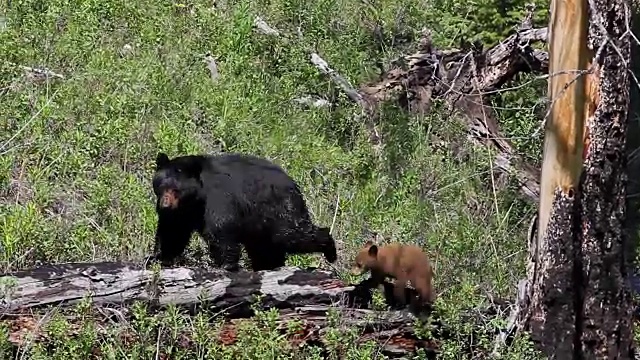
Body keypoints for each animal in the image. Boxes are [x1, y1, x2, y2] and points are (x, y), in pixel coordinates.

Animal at [145, 150, 338, 272]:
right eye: (160, 186)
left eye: (175, 189)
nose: (164, 206)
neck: (196, 197)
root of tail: (293, 183)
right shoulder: (183, 212)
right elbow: (172, 232)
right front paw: (158, 258)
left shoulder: (219, 197)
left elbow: (221, 229)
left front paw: (226, 265)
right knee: (266, 249)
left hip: (280, 209)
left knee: (293, 234)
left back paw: (330, 250)